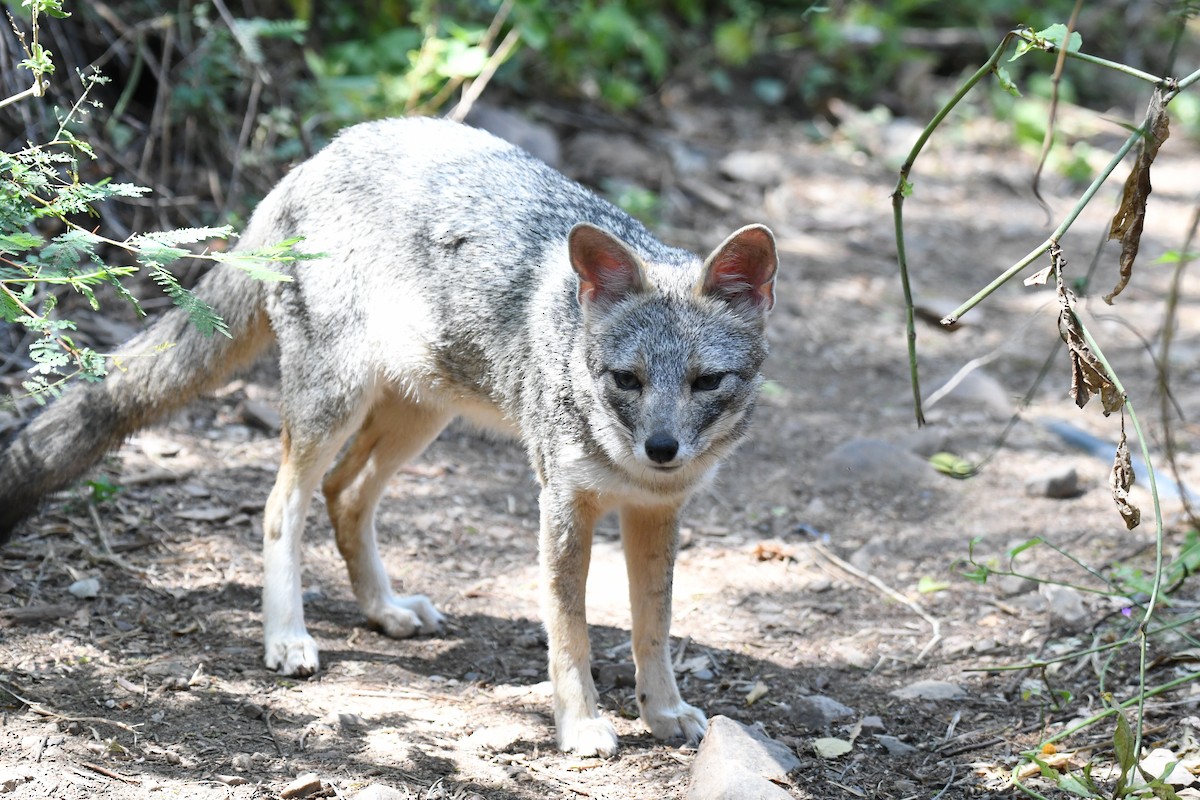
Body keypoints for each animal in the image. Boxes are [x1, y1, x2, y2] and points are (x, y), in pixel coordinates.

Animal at [0, 116, 778, 756]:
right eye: (627, 379)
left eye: (707, 382)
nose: (662, 450)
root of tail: (315, 159)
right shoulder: (562, 507)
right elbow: (572, 637)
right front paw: (582, 726)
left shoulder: (657, 513)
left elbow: (654, 628)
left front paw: (663, 712)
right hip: (332, 409)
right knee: (282, 506)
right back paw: (287, 638)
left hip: (418, 417)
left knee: (347, 495)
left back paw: (384, 610)